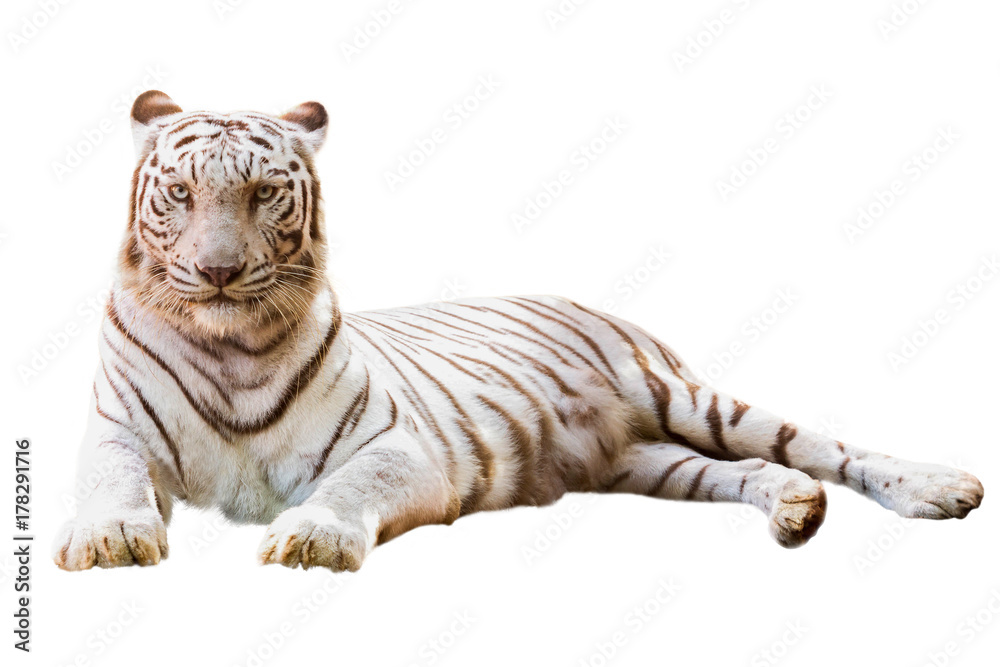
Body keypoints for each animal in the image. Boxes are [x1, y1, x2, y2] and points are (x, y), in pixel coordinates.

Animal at [53, 90, 984, 572]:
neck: (231, 343)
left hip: (686, 397)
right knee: (747, 469)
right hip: (643, 460)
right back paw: (794, 510)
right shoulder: (115, 429)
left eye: (263, 193)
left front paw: (313, 536)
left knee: (819, 444)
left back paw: (941, 488)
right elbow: (109, 478)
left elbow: (348, 486)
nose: (216, 271)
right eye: (180, 193)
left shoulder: (399, 446)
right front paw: (106, 538)